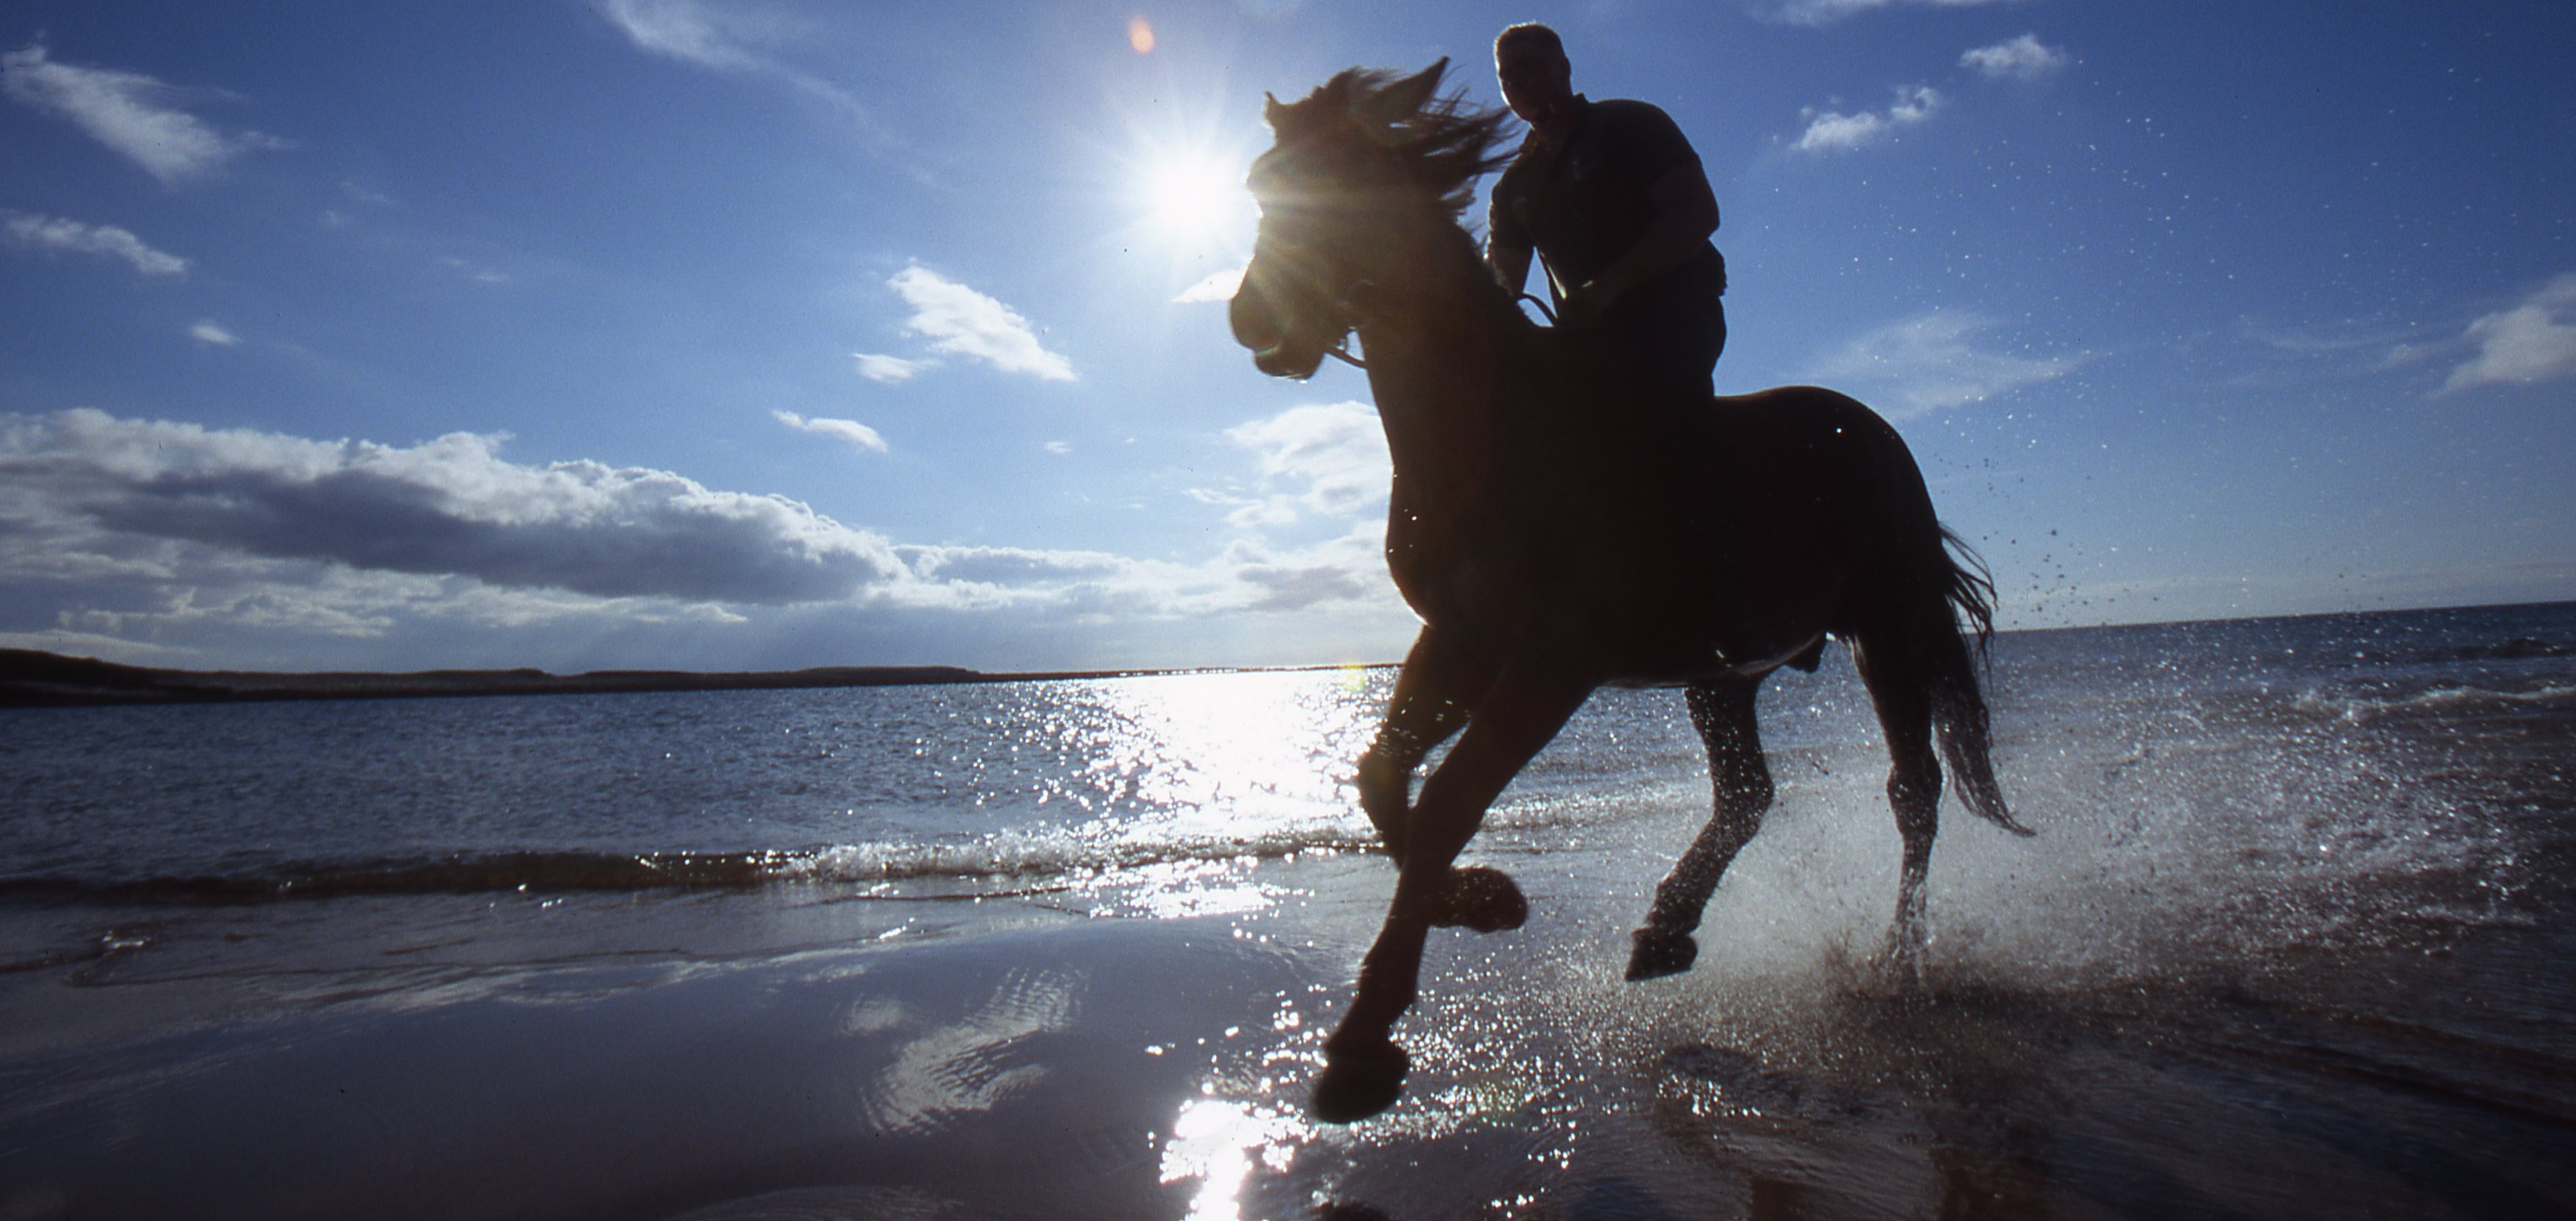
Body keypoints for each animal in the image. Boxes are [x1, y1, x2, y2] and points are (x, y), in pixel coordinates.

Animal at [1226, 62, 2030, 1123]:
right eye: (1261, 185)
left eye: (1342, 185)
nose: (1253, 321)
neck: (1492, 426)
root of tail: (1876, 433)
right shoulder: (1460, 638)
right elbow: (1382, 778)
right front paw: (1484, 901)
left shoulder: (1553, 659)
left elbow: (1447, 797)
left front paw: (1365, 1040)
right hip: (1724, 673)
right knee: (1748, 793)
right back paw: (1667, 929)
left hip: (1886, 629)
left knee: (1914, 790)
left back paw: (1897, 962)